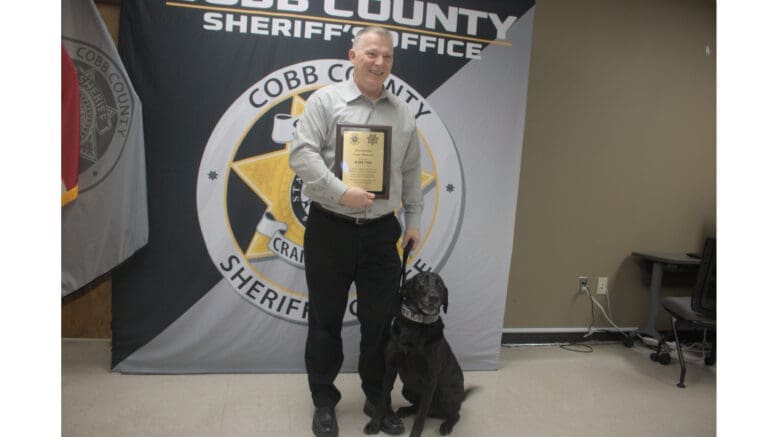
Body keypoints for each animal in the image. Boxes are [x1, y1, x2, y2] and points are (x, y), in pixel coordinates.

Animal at [364, 270, 466, 434]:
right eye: (421, 282)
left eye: (440, 285)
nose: (434, 297)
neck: (415, 325)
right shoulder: (390, 369)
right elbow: (382, 401)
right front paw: (374, 424)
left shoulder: (430, 380)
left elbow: (421, 417)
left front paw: (415, 433)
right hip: (407, 389)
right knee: (419, 407)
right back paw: (406, 410)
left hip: (446, 394)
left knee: (453, 414)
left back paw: (446, 425)